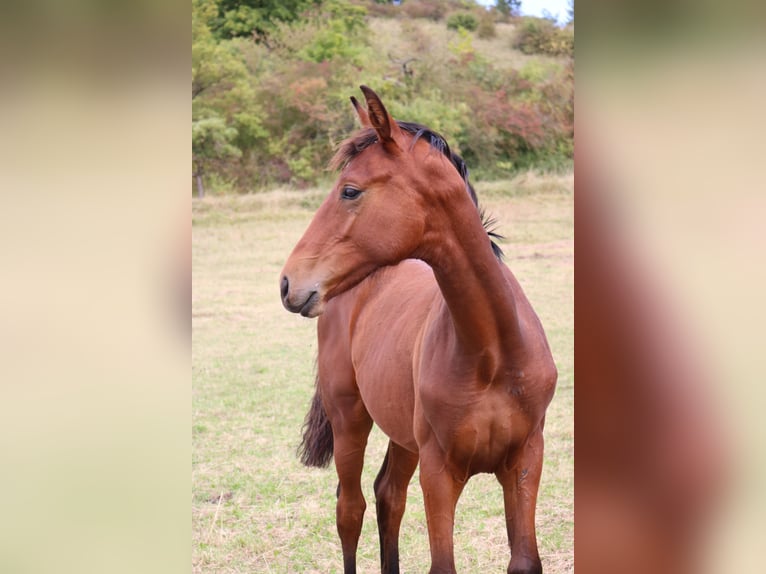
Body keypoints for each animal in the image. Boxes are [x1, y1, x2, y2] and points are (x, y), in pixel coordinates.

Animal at [279, 86, 557, 574]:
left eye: (350, 190)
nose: (288, 283)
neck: (493, 352)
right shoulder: (439, 471)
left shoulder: (526, 460)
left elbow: (524, 560)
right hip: (349, 417)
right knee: (350, 509)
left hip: (401, 435)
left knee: (389, 494)